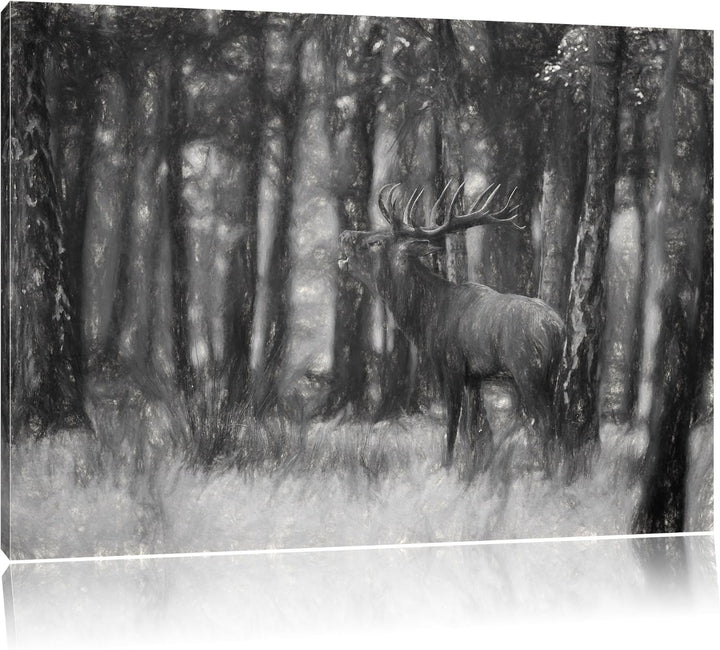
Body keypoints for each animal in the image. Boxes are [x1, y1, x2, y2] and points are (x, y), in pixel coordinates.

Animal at [337, 181, 565, 469]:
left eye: (375, 242)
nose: (344, 233)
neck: (427, 318)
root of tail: (558, 328)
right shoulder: (474, 376)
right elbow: (474, 428)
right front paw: (474, 466)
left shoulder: (451, 364)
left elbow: (452, 426)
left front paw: (447, 466)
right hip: (552, 374)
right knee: (556, 420)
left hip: (527, 370)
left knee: (544, 422)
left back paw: (546, 470)